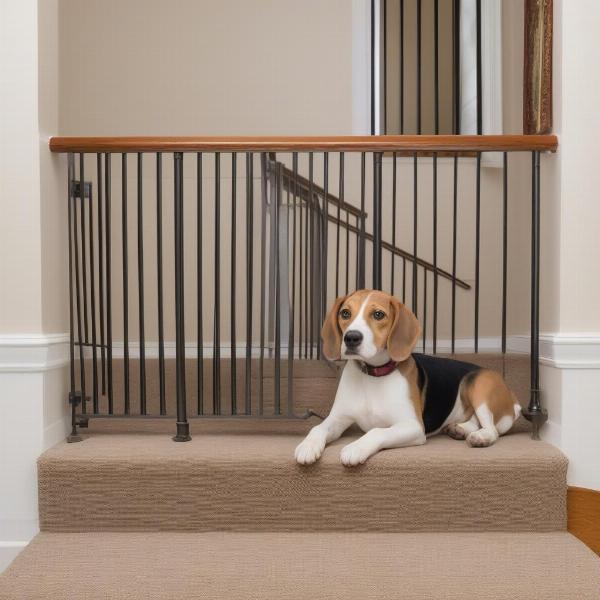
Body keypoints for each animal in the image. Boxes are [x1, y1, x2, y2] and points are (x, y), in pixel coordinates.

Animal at [294, 288, 520, 466]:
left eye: (378, 314)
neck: (373, 375)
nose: (351, 338)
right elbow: (317, 427)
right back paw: (460, 429)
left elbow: (377, 431)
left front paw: (355, 448)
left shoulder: (412, 426)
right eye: (345, 313)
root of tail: (513, 399)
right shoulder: (338, 418)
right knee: (475, 420)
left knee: (491, 428)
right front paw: (307, 446)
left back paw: (480, 437)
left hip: (480, 385)